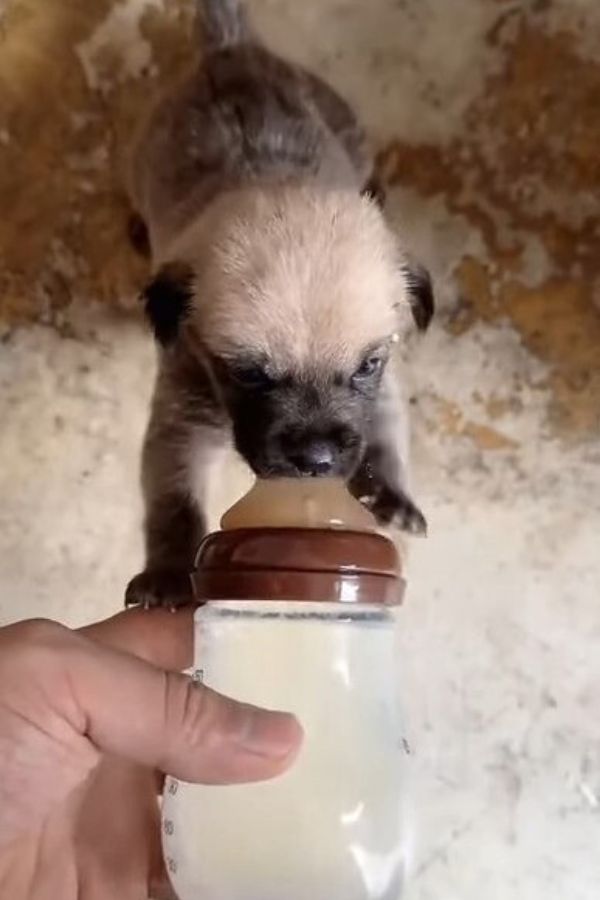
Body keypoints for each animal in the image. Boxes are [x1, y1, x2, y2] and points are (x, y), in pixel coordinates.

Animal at [124, 0, 434, 608]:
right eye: (248, 373)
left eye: (366, 366)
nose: (316, 462)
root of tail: (234, 50)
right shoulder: (181, 419)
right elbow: (172, 501)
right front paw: (168, 571)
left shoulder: (385, 384)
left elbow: (386, 434)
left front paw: (389, 491)